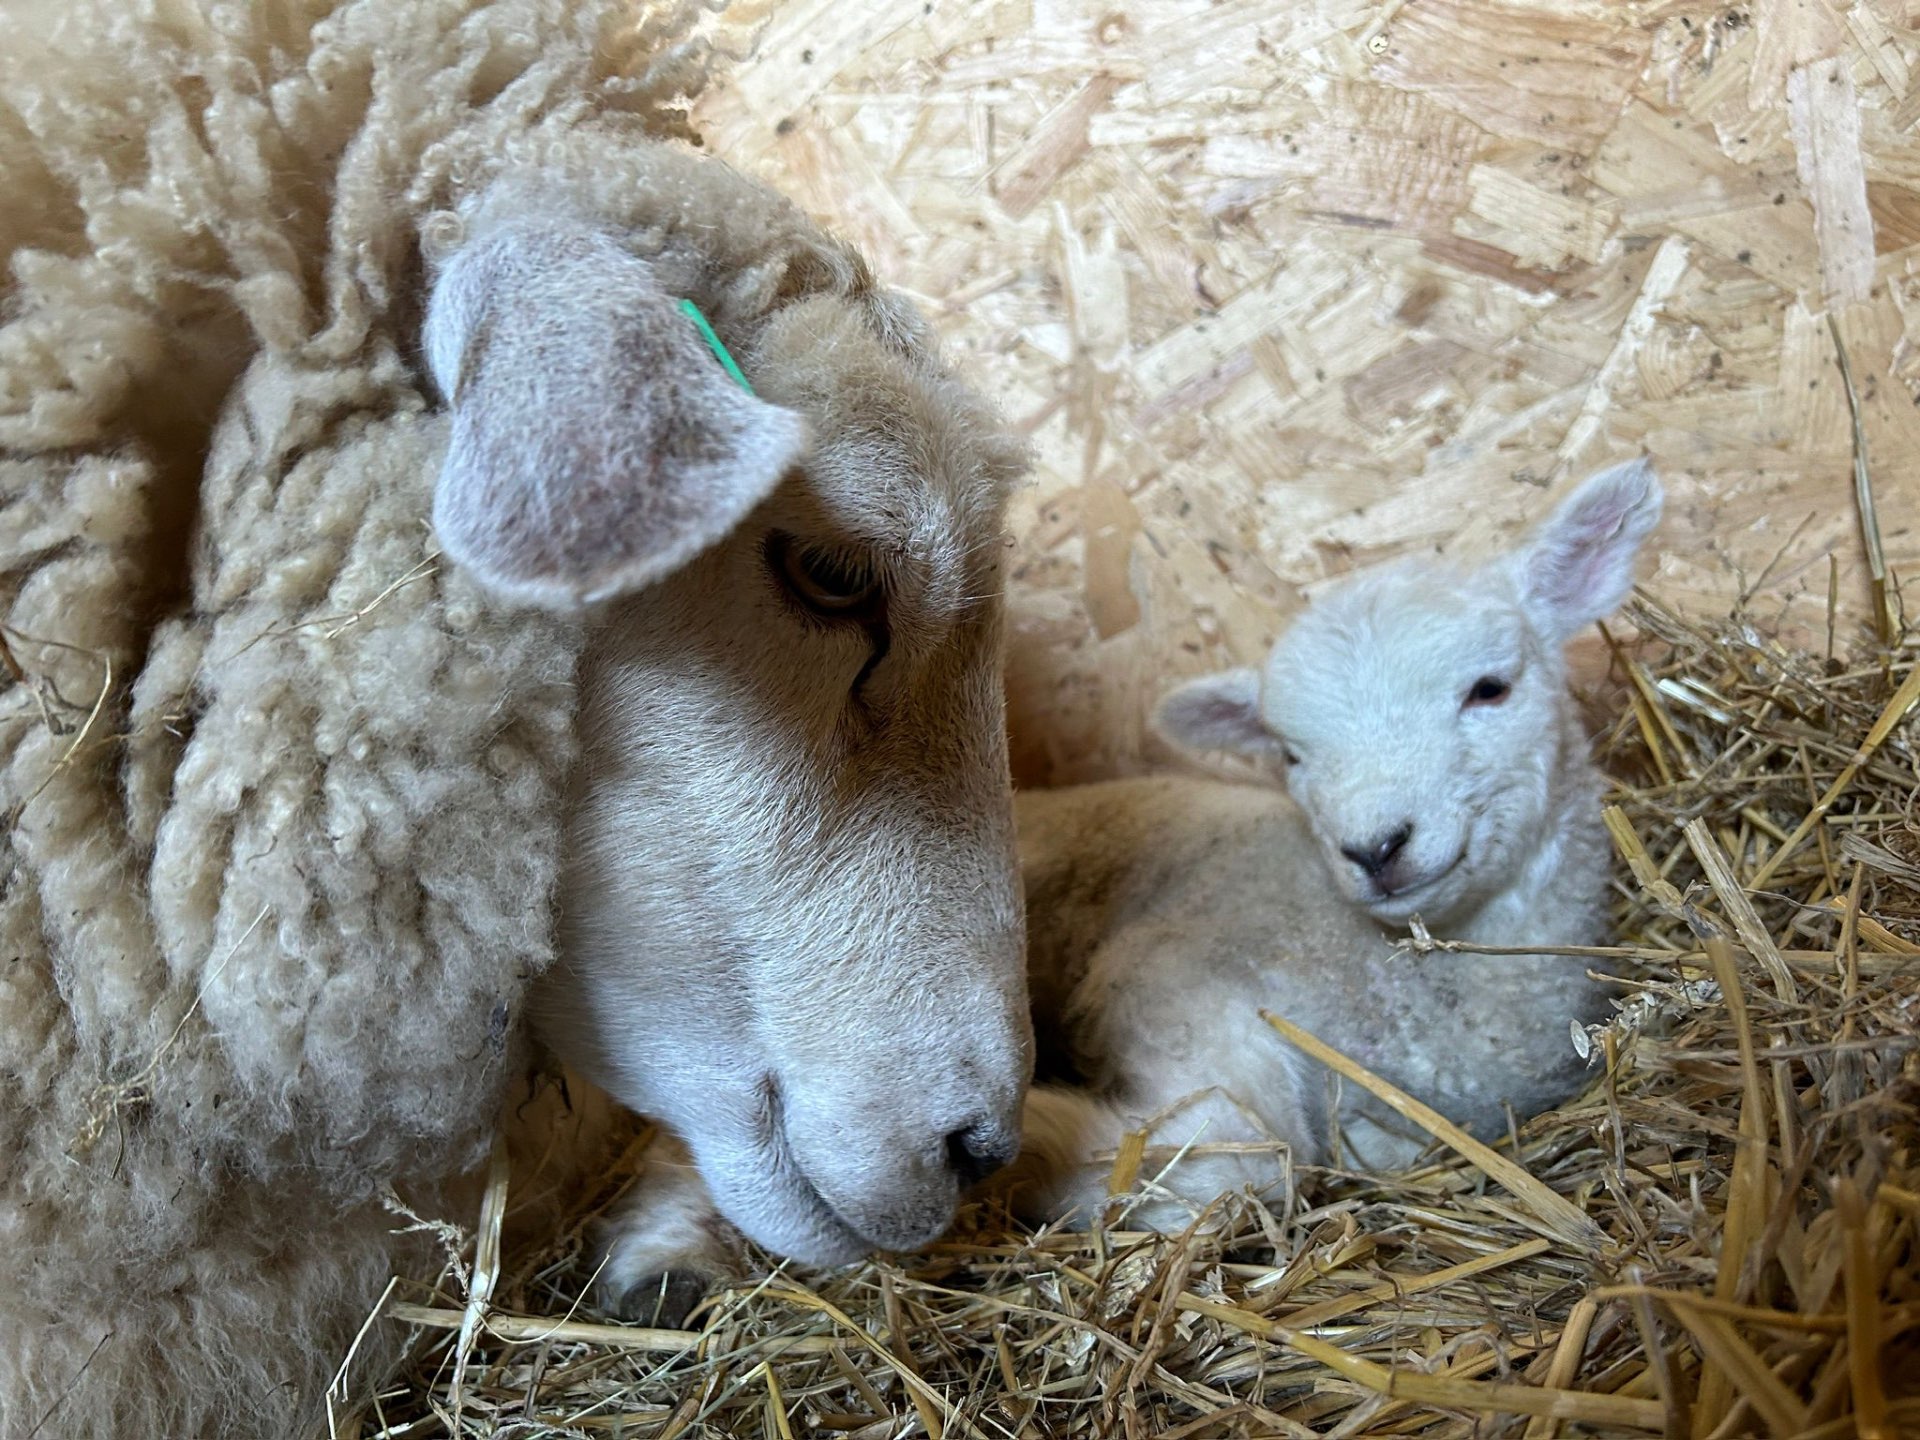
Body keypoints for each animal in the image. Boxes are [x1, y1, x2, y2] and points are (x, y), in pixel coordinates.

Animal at [1015, 458, 1661, 1228]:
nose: (1375, 848)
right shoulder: (1165, 981)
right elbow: (1249, 1155)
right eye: (1291, 755)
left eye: (1490, 689)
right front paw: (1039, 1134)